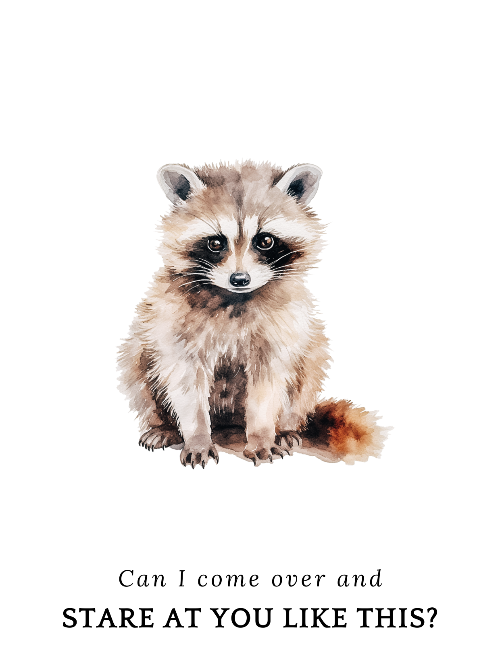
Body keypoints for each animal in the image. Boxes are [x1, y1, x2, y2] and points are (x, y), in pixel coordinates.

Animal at [118, 161, 387, 468]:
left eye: (265, 240)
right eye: (215, 243)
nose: (239, 279)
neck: (235, 297)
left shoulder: (280, 329)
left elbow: (267, 386)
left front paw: (260, 436)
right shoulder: (174, 323)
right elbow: (185, 383)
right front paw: (197, 437)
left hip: (310, 352)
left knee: (308, 366)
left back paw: (285, 428)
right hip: (143, 341)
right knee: (137, 361)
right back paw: (164, 426)